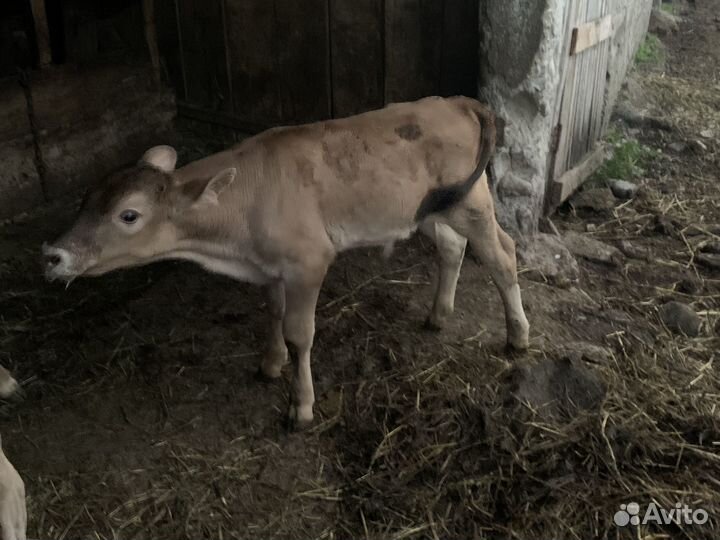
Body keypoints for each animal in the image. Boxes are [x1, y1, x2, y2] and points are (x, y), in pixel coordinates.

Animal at [42, 96, 530, 429]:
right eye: (86, 198)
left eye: (129, 215)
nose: (53, 254)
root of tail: (456, 101)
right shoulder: (269, 266)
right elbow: (273, 312)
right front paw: (270, 364)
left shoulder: (308, 261)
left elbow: (300, 334)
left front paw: (301, 405)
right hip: (426, 210)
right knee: (452, 248)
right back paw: (438, 315)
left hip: (471, 202)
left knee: (503, 256)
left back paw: (518, 336)